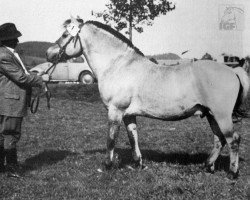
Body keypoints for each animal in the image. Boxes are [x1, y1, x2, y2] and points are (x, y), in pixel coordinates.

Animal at [46, 16, 249, 180]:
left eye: (65, 35)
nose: (49, 53)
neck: (118, 65)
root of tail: (233, 71)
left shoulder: (115, 111)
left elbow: (111, 139)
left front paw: (107, 165)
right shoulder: (128, 114)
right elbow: (132, 137)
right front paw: (138, 163)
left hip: (221, 115)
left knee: (233, 140)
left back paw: (232, 173)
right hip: (210, 115)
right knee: (219, 139)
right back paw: (208, 166)